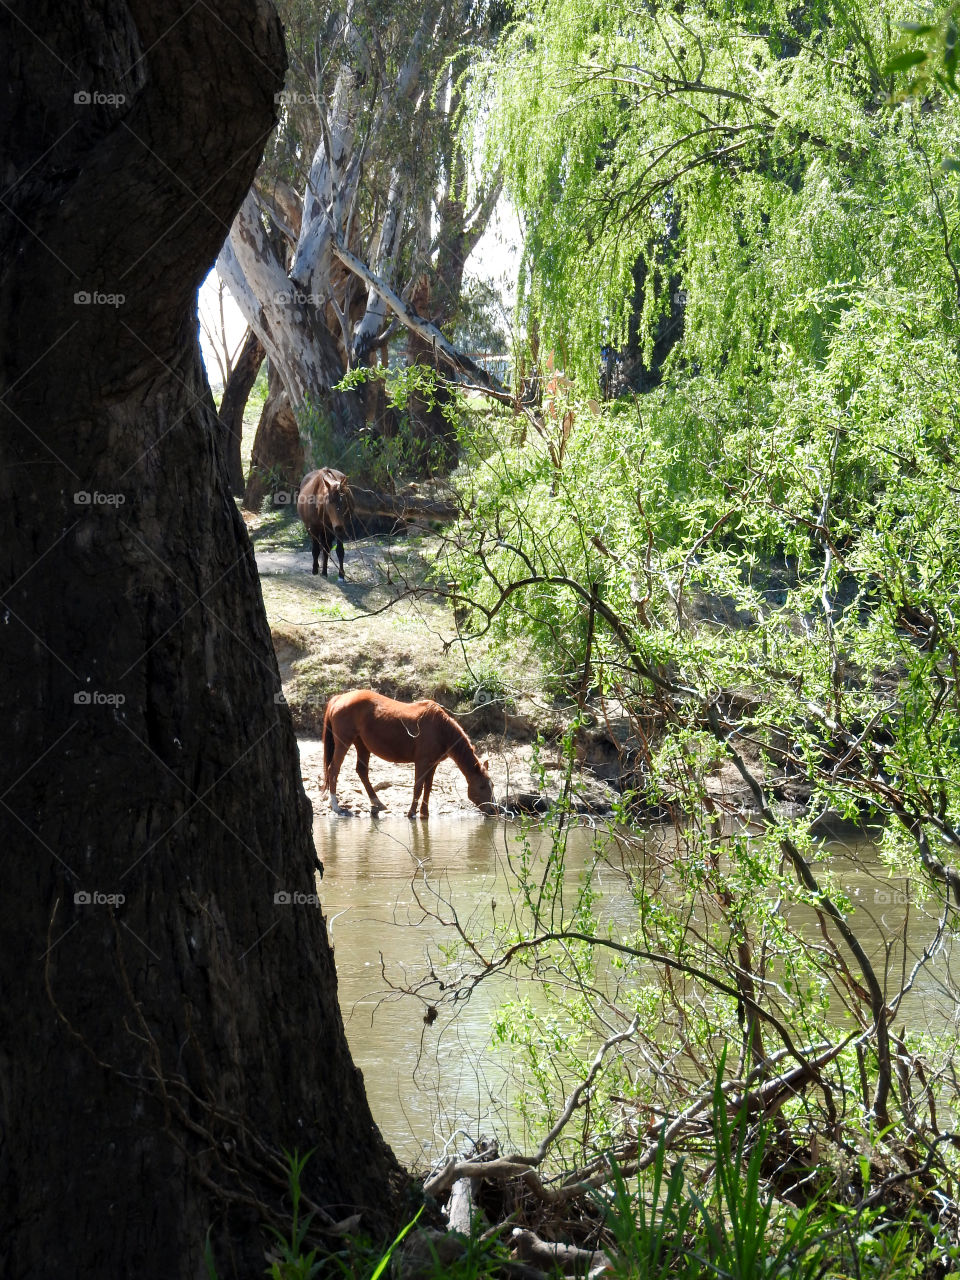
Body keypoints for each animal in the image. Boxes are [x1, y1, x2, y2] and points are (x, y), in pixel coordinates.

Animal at [322, 689, 496, 818]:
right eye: (481, 786)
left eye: (492, 785)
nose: (494, 810)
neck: (441, 730)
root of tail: (339, 698)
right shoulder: (422, 762)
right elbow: (418, 786)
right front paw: (411, 813)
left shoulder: (433, 764)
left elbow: (428, 787)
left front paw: (424, 813)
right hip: (344, 742)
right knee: (334, 769)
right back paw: (336, 806)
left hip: (362, 744)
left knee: (361, 771)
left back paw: (377, 802)